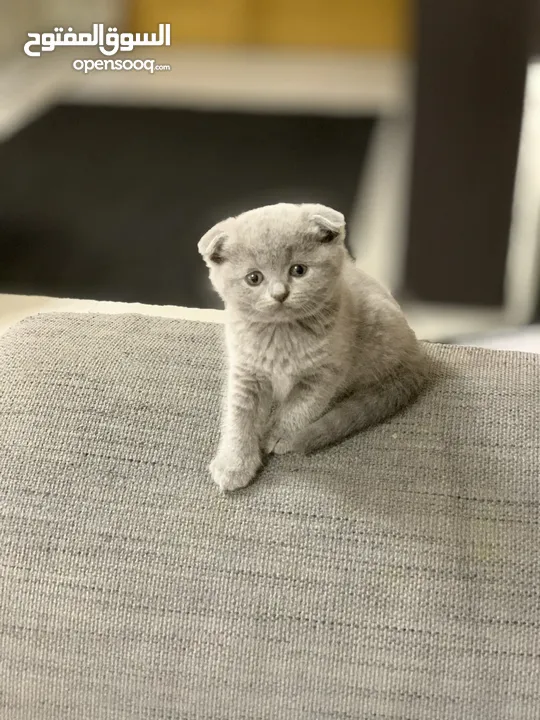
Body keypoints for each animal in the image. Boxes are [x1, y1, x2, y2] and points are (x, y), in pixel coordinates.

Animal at [196, 205, 428, 492]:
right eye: (254, 278)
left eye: (298, 270)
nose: (279, 294)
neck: (281, 334)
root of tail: (418, 356)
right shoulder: (245, 371)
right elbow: (239, 416)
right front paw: (234, 464)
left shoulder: (324, 374)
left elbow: (299, 408)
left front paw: (278, 435)